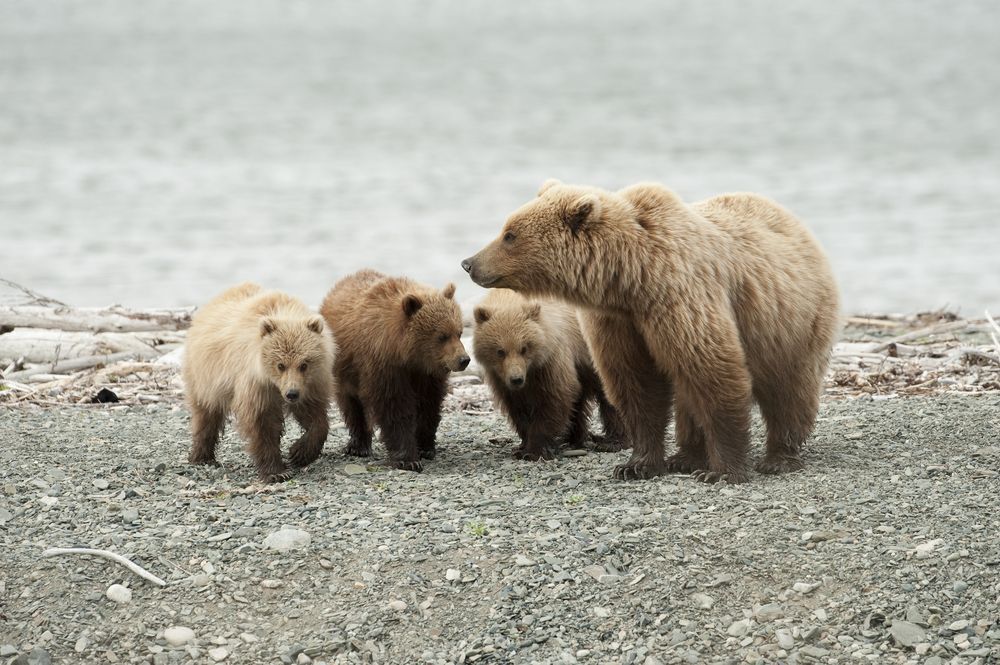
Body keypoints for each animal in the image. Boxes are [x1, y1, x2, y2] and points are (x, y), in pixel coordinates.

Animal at [183, 282, 335, 483]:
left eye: (304, 364)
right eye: (280, 365)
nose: (292, 394)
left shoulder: (311, 384)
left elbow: (315, 416)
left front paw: (299, 453)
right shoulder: (255, 385)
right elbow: (261, 423)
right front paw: (276, 472)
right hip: (206, 376)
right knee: (206, 413)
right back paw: (202, 456)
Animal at [319, 269, 469, 472]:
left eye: (459, 332)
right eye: (442, 336)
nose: (464, 360)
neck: (405, 353)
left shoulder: (426, 373)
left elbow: (429, 403)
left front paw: (425, 447)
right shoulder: (383, 364)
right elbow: (394, 405)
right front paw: (408, 459)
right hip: (344, 368)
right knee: (351, 403)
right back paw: (359, 446)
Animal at [472, 288, 626, 461]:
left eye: (524, 348)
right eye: (500, 351)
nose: (516, 379)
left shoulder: (551, 360)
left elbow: (555, 398)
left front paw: (534, 450)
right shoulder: (501, 378)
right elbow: (518, 407)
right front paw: (522, 446)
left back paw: (612, 441)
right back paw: (573, 439)